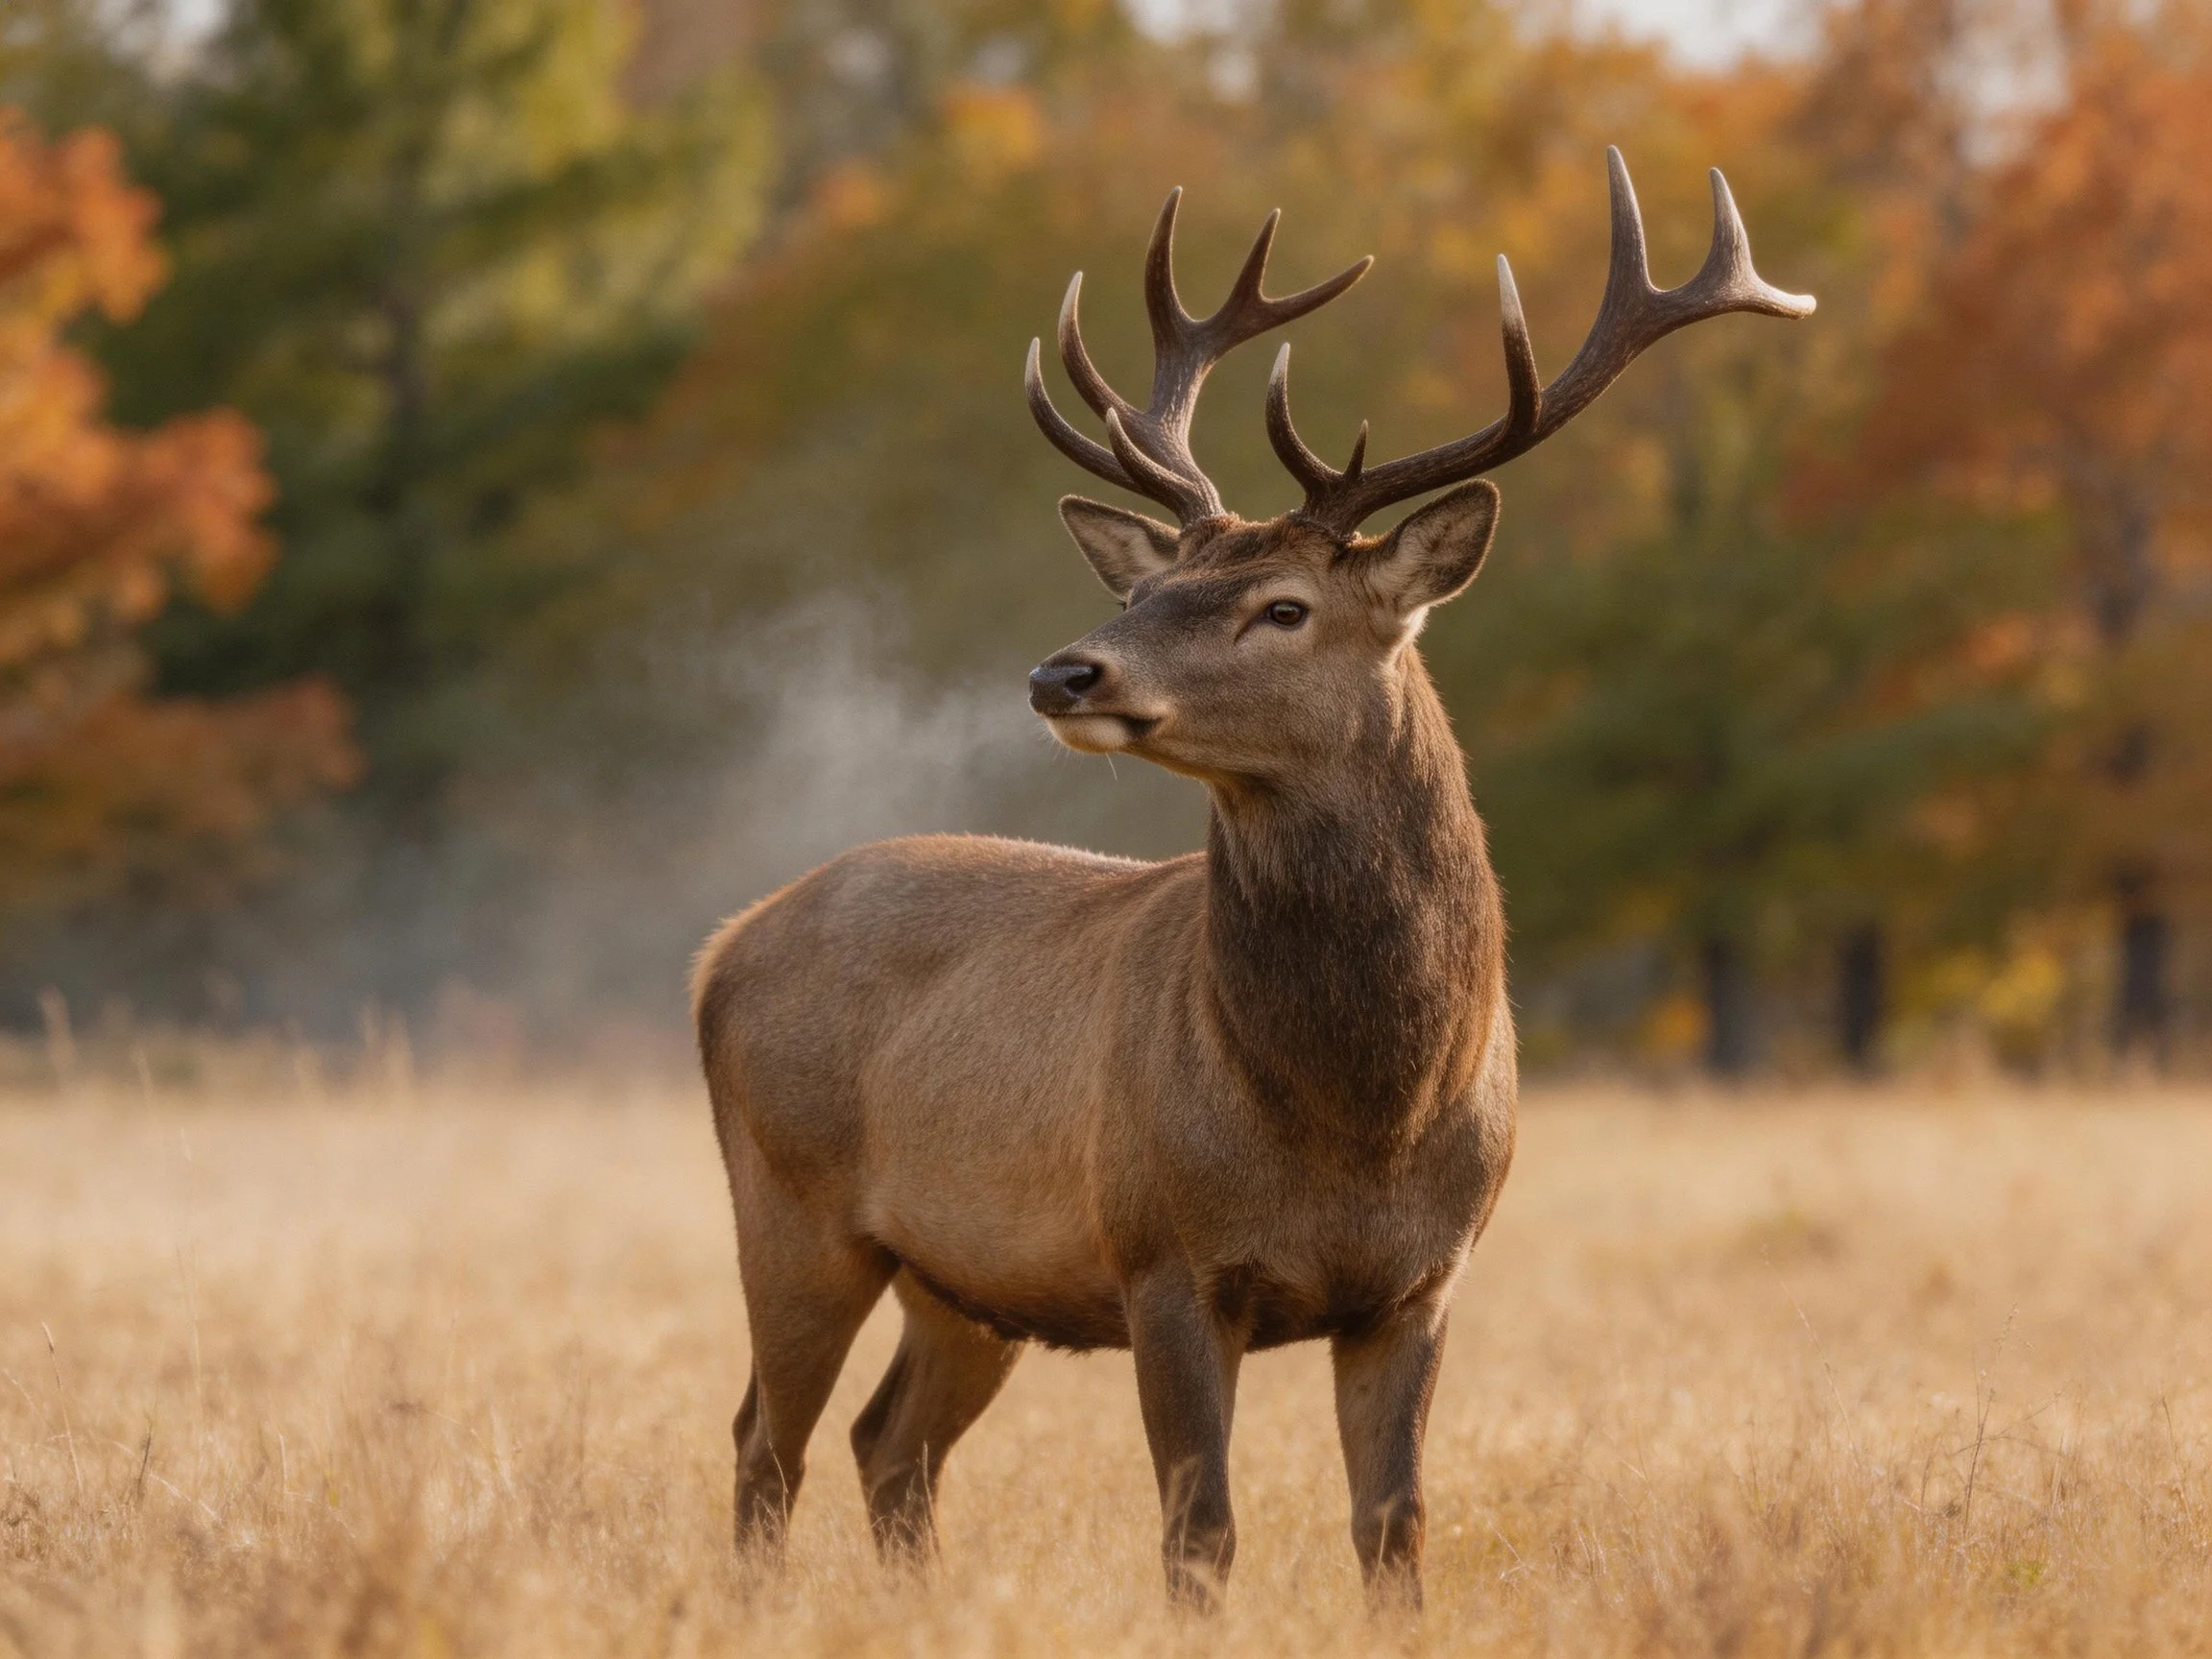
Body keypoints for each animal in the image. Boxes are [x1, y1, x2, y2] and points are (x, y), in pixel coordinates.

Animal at [693, 148, 1812, 1608]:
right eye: (1149, 587)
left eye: (1283, 606)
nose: (1065, 671)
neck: (1357, 1113)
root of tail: (724, 945)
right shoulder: (1164, 1255)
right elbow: (1200, 1532)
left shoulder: (1422, 1282)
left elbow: (1395, 1528)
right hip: (793, 1202)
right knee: (764, 1441)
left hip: (969, 1275)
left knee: (891, 1444)